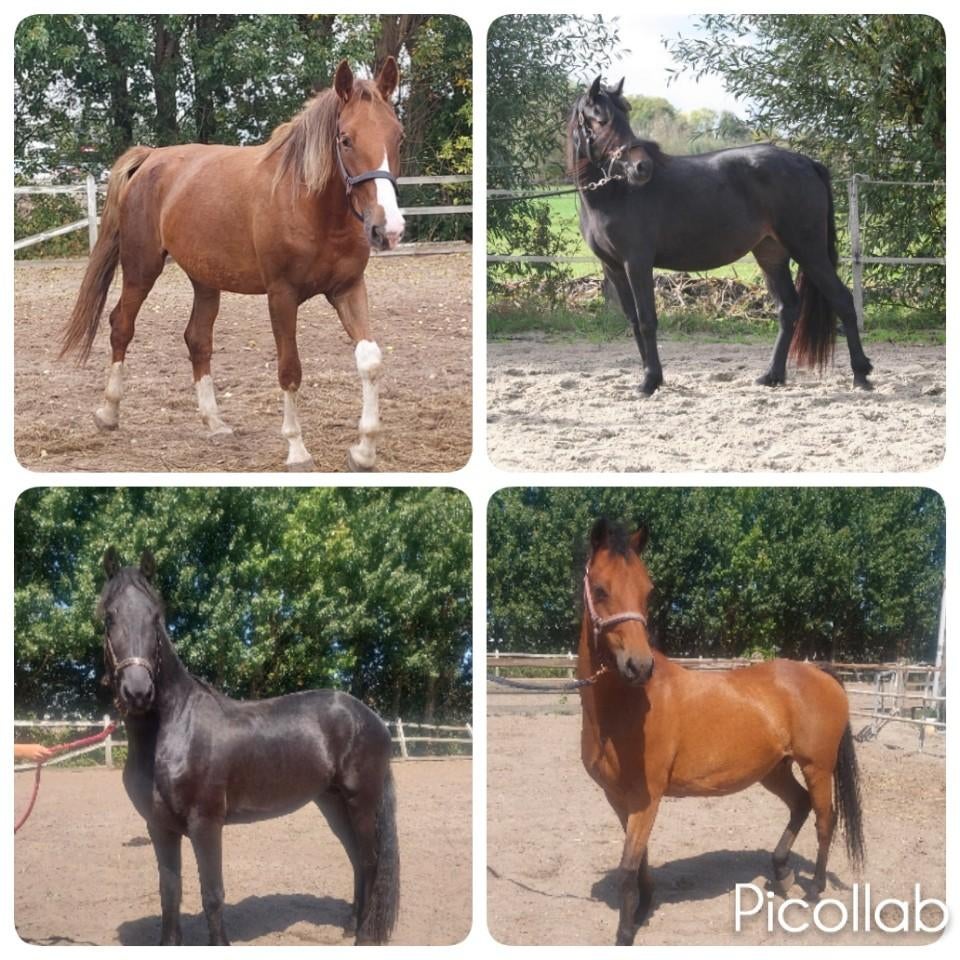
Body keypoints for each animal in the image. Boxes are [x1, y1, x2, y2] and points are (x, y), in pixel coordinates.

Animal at [61, 59, 406, 472]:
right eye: (345, 139)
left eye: (398, 137)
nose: (388, 229)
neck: (309, 204)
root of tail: (151, 158)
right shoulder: (281, 295)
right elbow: (290, 369)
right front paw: (297, 450)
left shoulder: (348, 288)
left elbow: (370, 361)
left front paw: (363, 451)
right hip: (141, 268)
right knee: (121, 327)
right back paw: (109, 413)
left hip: (205, 279)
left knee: (197, 339)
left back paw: (214, 422)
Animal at [98, 547, 399, 945]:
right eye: (109, 617)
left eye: (155, 616)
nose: (137, 691)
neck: (172, 729)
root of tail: (371, 717)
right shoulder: (159, 827)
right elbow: (170, 892)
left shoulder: (206, 824)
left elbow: (212, 894)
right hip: (332, 802)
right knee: (356, 860)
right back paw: (351, 924)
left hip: (360, 801)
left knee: (370, 861)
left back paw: (365, 935)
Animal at [567, 77, 874, 397]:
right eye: (601, 120)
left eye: (625, 116)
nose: (642, 168)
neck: (615, 194)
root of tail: (807, 162)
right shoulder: (614, 267)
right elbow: (634, 321)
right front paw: (651, 378)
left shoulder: (637, 263)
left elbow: (647, 320)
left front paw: (650, 381)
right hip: (771, 254)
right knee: (788, 308)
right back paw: (772, 375)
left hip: (809, 251)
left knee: (843, 301)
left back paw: (860, 375)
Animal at [578, 518, 864, 946]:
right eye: (600, 588)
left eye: (647, 590)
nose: (639, 666)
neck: (623, 709)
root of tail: (819, 672)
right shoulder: (619, 799)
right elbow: (639, 860)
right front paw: (643, 910)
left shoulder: (646, 798)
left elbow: (628, 867)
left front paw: (626, 932)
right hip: (774, 769)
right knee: (799, 805)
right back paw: (781, 873)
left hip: (817, 766)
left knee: (824, 820)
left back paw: (813, 890)